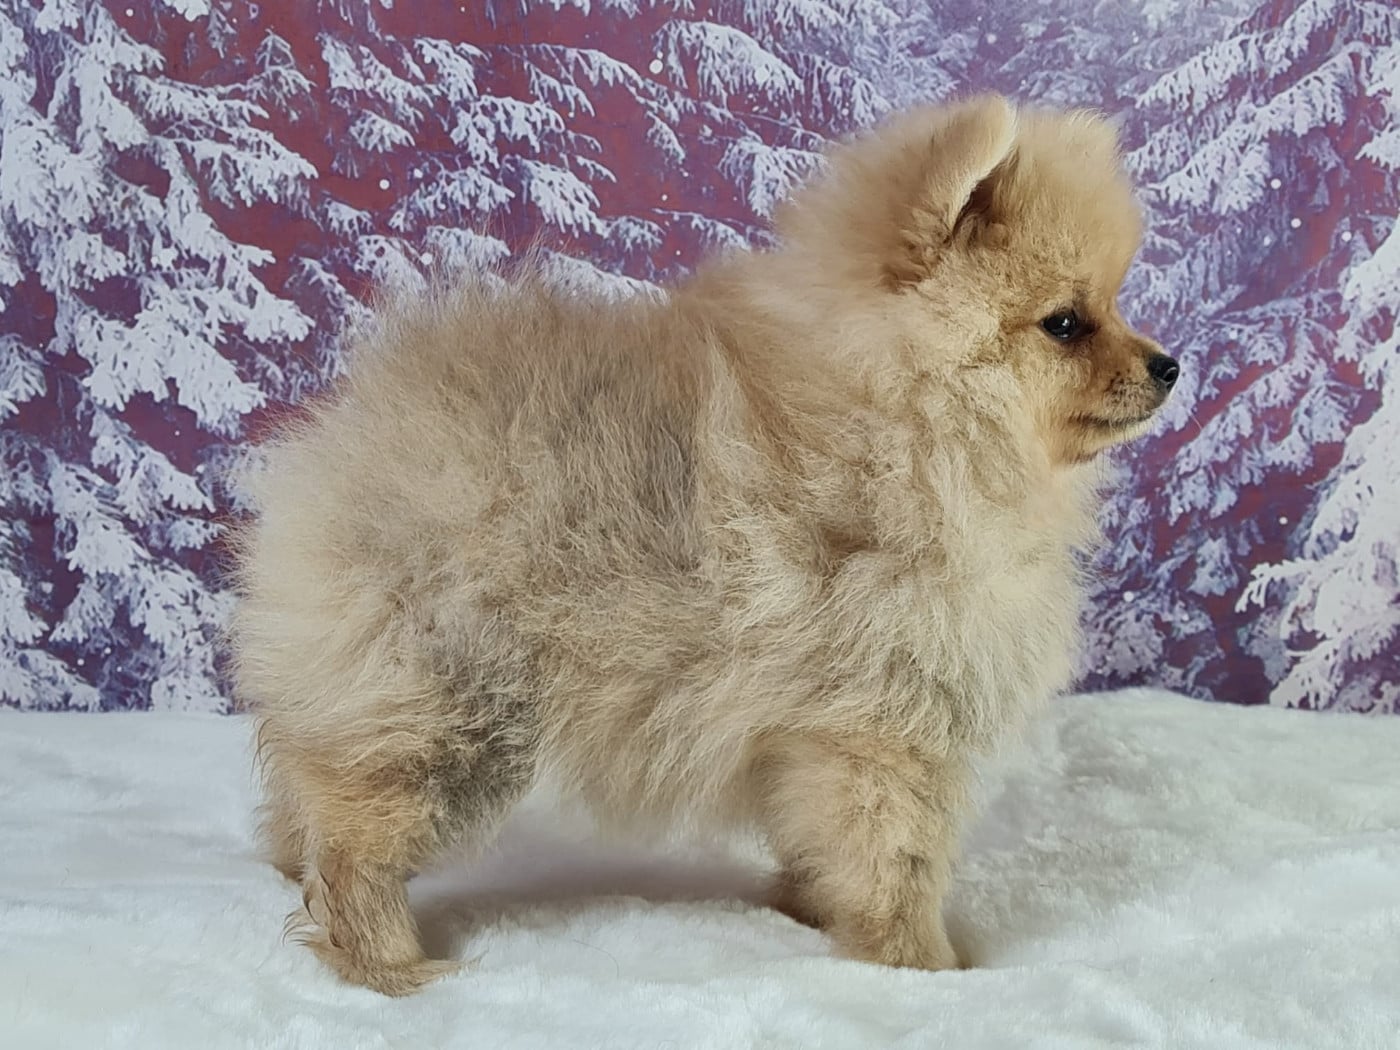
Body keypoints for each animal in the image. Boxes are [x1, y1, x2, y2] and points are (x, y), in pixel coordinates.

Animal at [229, 94, 1177, 995]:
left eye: (1116, 304)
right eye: (1066, 323)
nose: (1169, 366)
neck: (904, 417)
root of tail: (352, 427)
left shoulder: (813, 739)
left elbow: (820, 843)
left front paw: (810, 910)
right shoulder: (883, 730)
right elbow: (896, 866)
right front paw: (924, 970)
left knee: (306, 775)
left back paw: (284, 861)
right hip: (453, 697)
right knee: (357, 841)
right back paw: (387, 965)